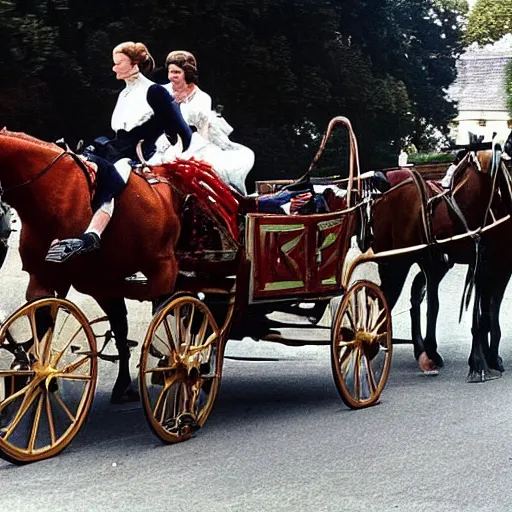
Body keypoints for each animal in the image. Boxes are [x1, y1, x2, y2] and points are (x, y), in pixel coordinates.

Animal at [0, 129, 181, 404]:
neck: (50, 191)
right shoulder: (42, 280)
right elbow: (41, 324)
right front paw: (32, 375)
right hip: (107, 285)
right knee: (121, 328)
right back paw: (124, 384)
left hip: (162, 272)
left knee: (167, 320)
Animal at [370, 148, 510, 380]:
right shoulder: (488, 265)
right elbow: (485, 314)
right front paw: (482, 360)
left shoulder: (495, 265)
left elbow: (488, 313)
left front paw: (488, 358)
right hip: (396, 263)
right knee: (387, 299)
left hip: (430, 262)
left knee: (419, 296)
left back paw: (424, 351)